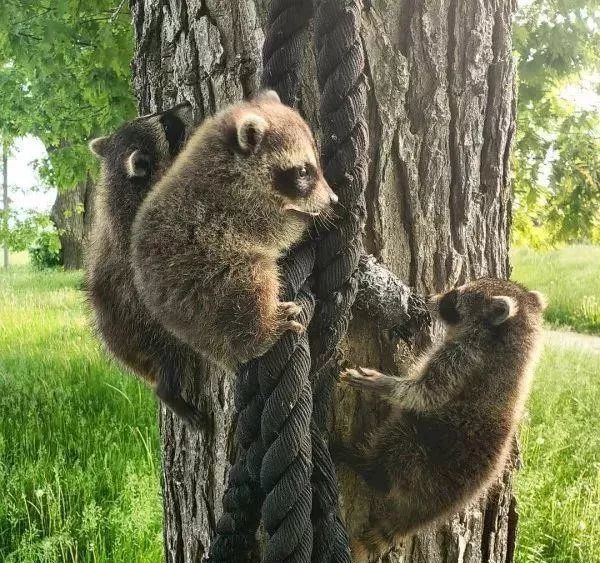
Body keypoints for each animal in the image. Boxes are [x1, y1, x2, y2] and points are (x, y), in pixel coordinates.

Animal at [84, 102, 206, 428]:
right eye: (164, 125)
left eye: (150, 115)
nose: (185, 104)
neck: (122, 183)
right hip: (151, 326)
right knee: (172, 354)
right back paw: (169, 392)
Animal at [132, 91, 338, 372]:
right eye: (304, 171)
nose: (332, 199)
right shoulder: (233, 206)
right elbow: (277, 230)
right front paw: (308, 218)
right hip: (206, 276)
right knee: (251, 282)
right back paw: (261, 333)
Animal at [338, 280, 544, 560]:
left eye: (454, 297)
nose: (430, 298)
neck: (515, 337)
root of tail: (438, 506)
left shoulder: (465, 357)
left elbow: (426, 393)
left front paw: (386, 384)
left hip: (431, 458)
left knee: (400, 440)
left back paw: (367, 465)